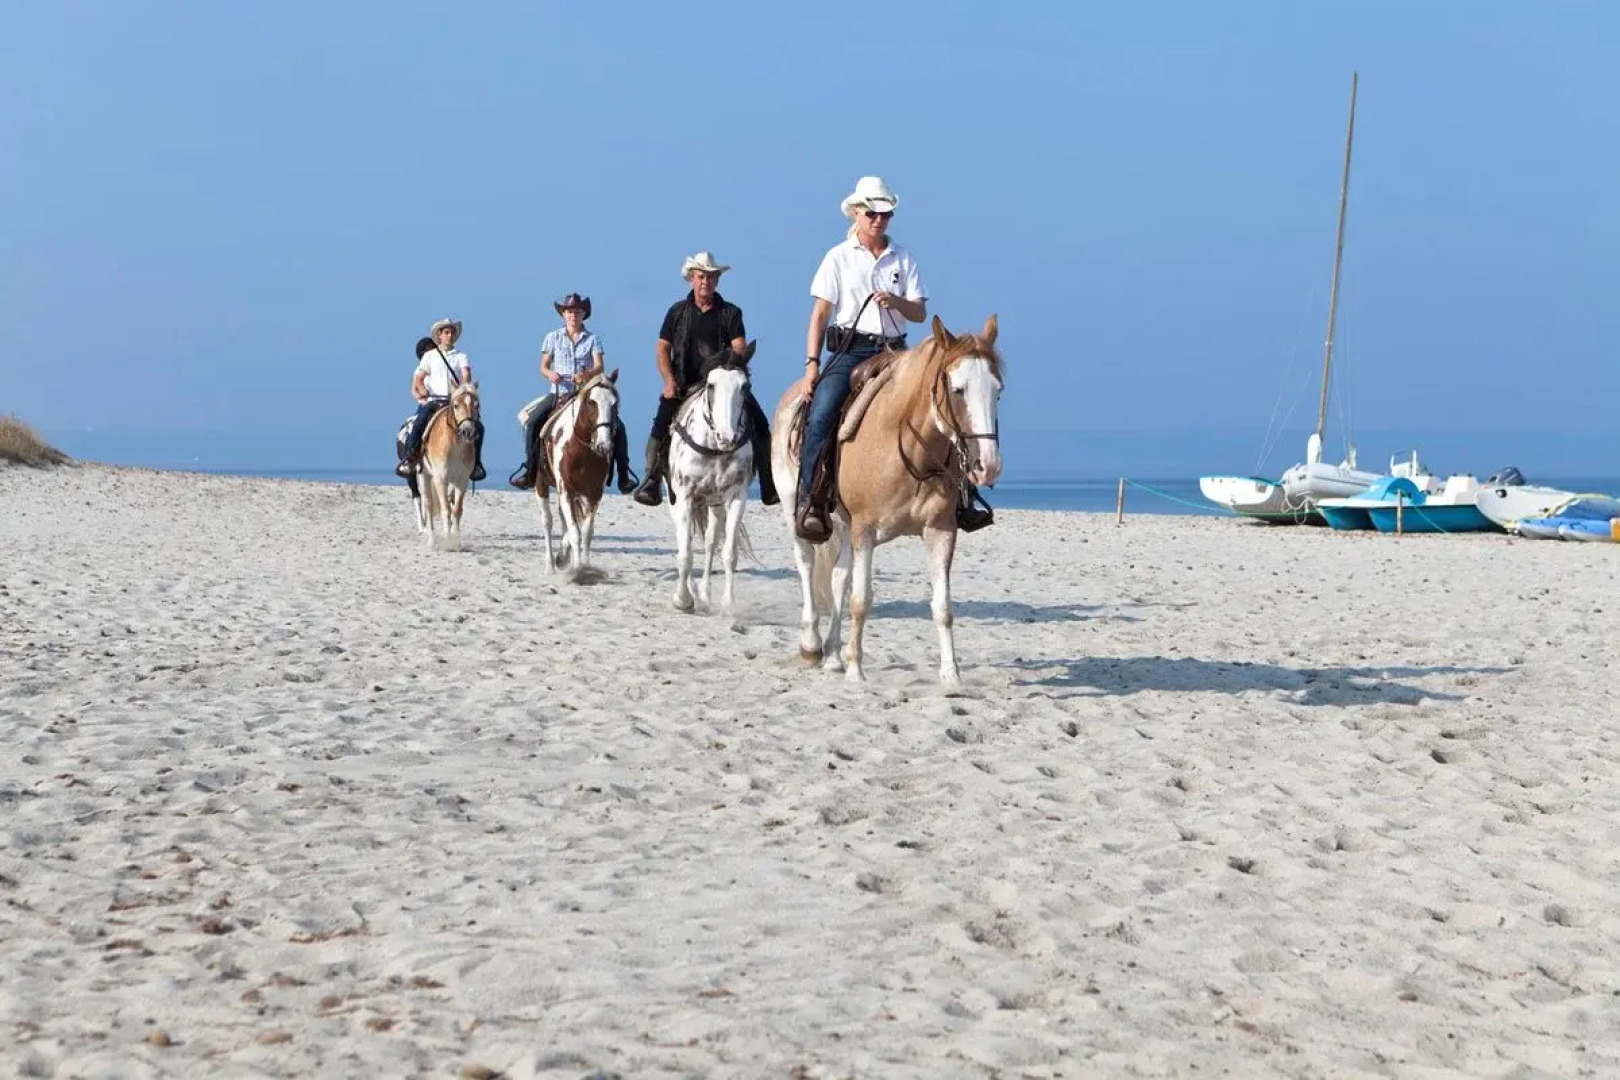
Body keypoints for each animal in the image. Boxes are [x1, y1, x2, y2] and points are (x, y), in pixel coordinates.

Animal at [415, 380, 482, 551]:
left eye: (477, 405)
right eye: (456, 405)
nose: (468, 431)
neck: (455, 444)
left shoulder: (462, 481)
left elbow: (456, 510)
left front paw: (456, 540)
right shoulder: (440, 479)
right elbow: (445, 509)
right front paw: (447, 539)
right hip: (424, 476)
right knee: (429, 505)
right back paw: (431, 540)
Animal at [534, 371, 620, 577]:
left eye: (614, 403)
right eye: (591, 402)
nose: (604, 445)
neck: (582, 451)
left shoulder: (594, 494)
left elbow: (586, 532)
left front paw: (585, 566)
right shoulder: (566, 490)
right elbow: (575, 533)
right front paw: (577, 569)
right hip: (541, 484)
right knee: (547, 521)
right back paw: (550, 566)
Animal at [666, 341, 758, 614]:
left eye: (745, 386)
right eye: (711, 385)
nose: (727, 438)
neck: (714, 449)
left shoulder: (736, 498)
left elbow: (728, 553)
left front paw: (729, 604)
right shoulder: (684, 497)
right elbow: (685, 553)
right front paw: (683, 600)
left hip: (714, 504)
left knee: (709, 542)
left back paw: (705, 594)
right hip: (675, 500)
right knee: (684, 540)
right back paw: (692, 591)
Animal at [771, 314, 1004, 686]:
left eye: (998, 390)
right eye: (957, 389)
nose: (989, 466)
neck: (908, 449)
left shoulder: (941, 530)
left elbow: (942, 606)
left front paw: (951, 677)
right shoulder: (865, 530)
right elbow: (861, 599)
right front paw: (856, 671)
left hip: (842, 524)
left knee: (838, 578)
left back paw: (833, 656)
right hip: (796, 509)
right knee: (806, 564)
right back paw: (811, 645)